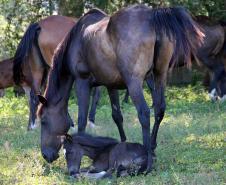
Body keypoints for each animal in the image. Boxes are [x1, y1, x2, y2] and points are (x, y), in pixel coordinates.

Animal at [38, 5, 204, 173]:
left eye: (43, 121)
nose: (45, 155)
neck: (78, 39)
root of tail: (152, 16)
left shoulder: (82, 82)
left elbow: (82, 119)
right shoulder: (111, 85)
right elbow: (117, 116)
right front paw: (122, 143)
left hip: (134, 82)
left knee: (144, 113)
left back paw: (147, 159)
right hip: (160, 75)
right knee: (159, 109)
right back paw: (152, 148)